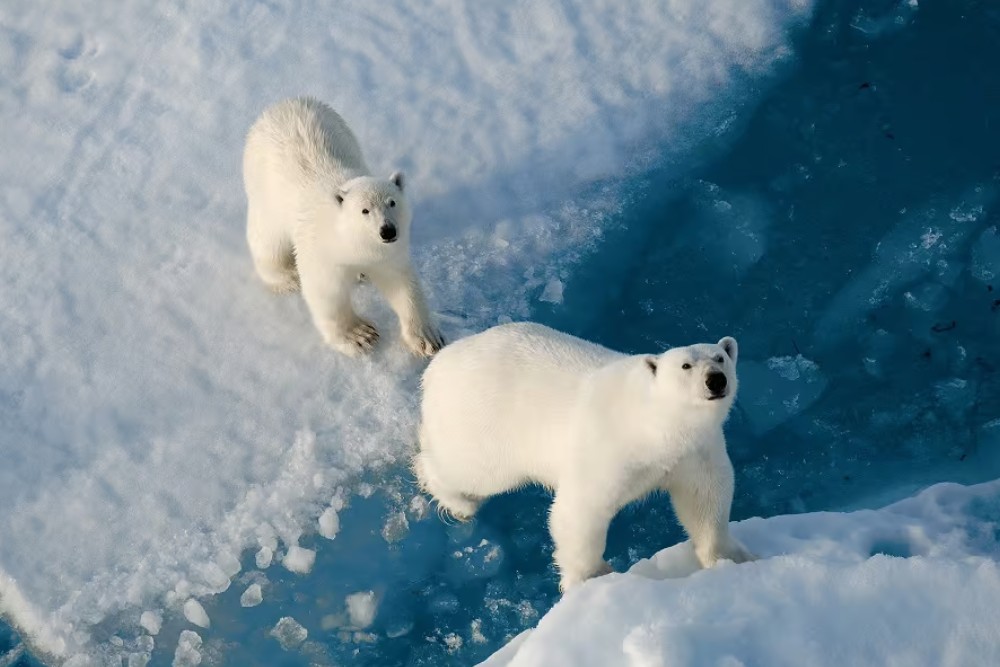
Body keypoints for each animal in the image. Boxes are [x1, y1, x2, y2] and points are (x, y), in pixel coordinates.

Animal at [243, 96, 444, 357]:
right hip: (265, 192)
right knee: (268, 239)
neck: (348, 240)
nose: (387, 230)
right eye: (364, 210)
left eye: (392, 202)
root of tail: (284, 103)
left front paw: (426, 338)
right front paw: (360, 335)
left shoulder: (386, 253)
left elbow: (401, 282)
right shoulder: (320, 248)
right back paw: (285, 277)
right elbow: (326, 291)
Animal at [414, 322, 755, 591]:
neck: (655, 424)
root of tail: (438, 366)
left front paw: (729, 558)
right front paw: (591, 577)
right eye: (685, 366)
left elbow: (705, 498)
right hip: (485, 424)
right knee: (472, 471)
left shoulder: (695, 452)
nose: (716, 379)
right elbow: (579, 511)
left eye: (720, 357)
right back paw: (458, 502)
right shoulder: (610, 450)